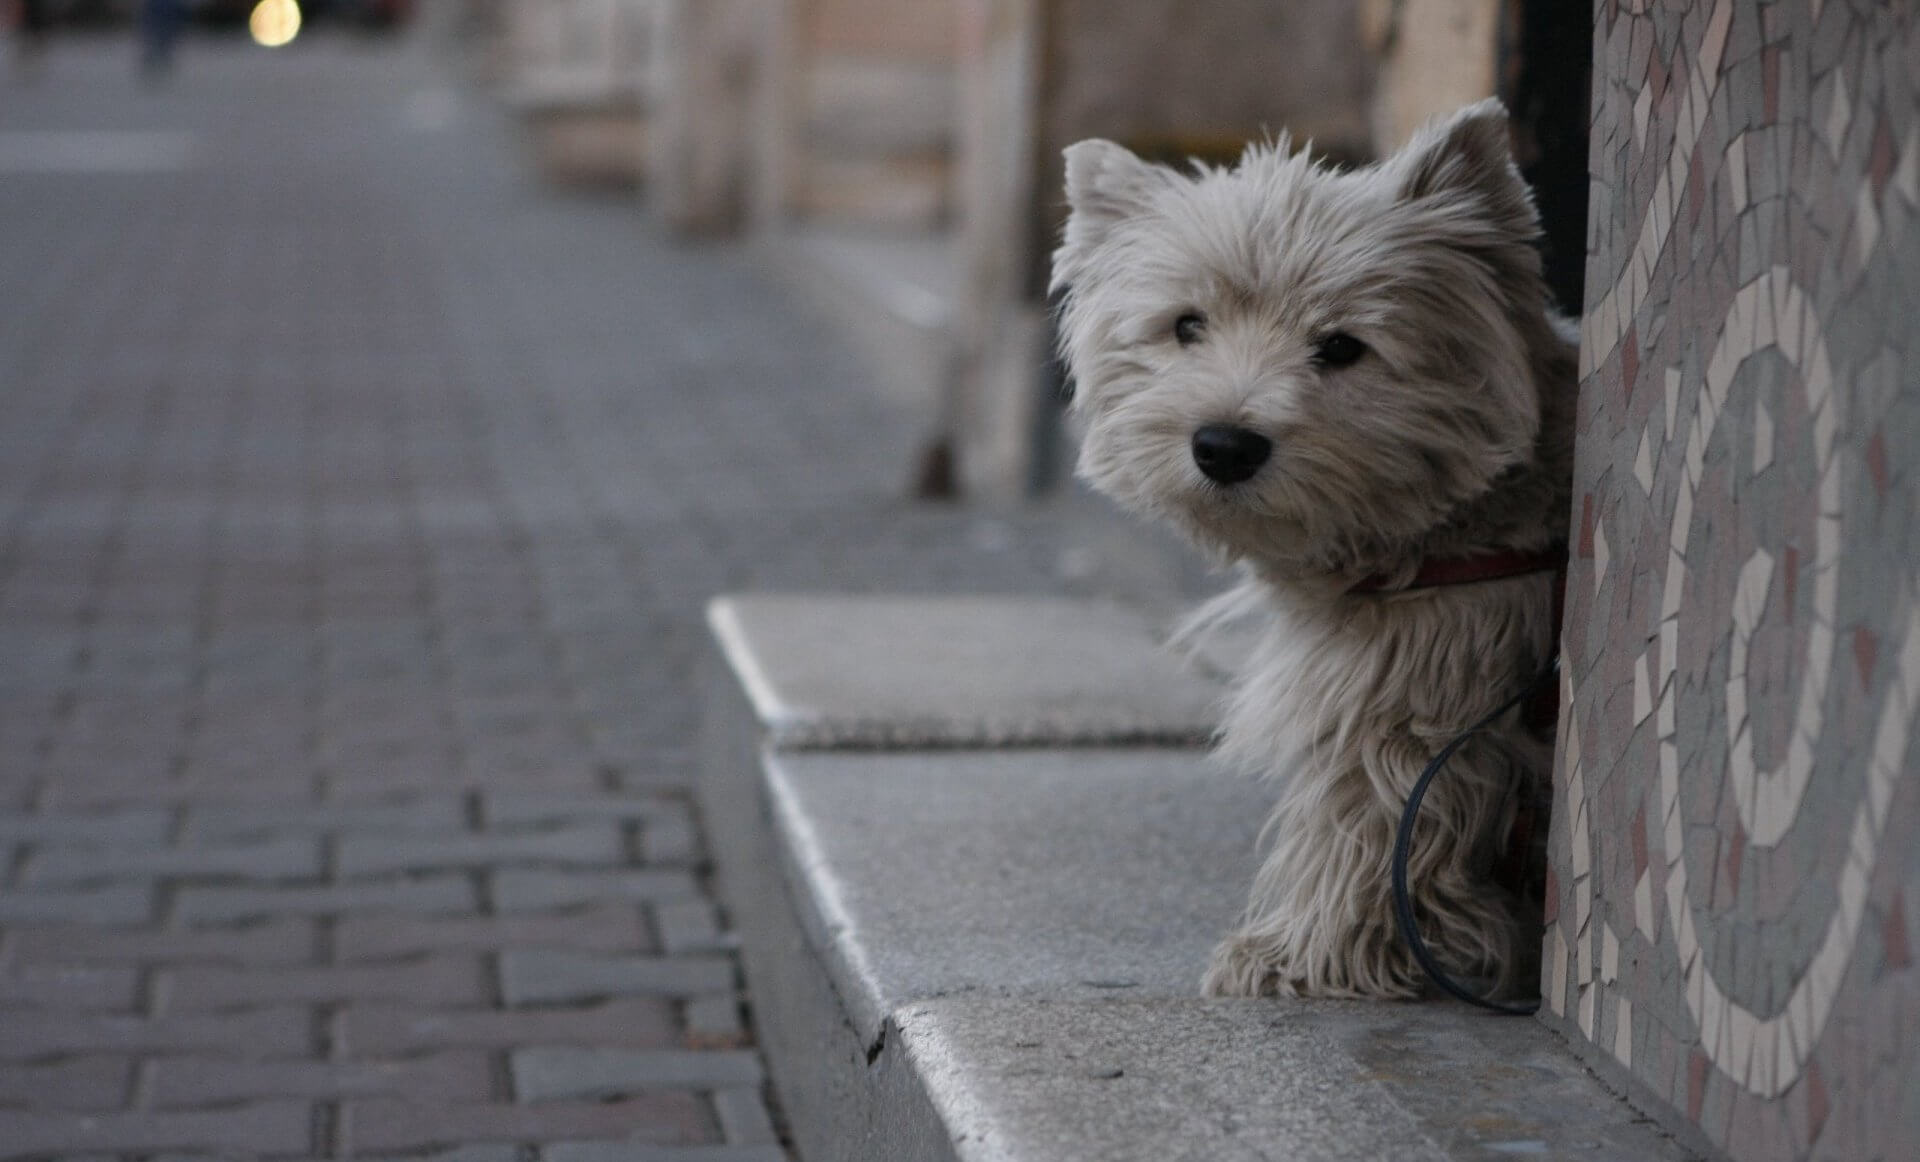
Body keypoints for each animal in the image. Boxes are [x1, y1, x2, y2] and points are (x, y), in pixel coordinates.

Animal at [1052, 101, 1574, 998]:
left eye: (1341, 346)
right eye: (1186, 326)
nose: (1223, 444)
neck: (1462, 530)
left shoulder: (1406, 693)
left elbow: (1369, 822)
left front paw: (1298, 956)